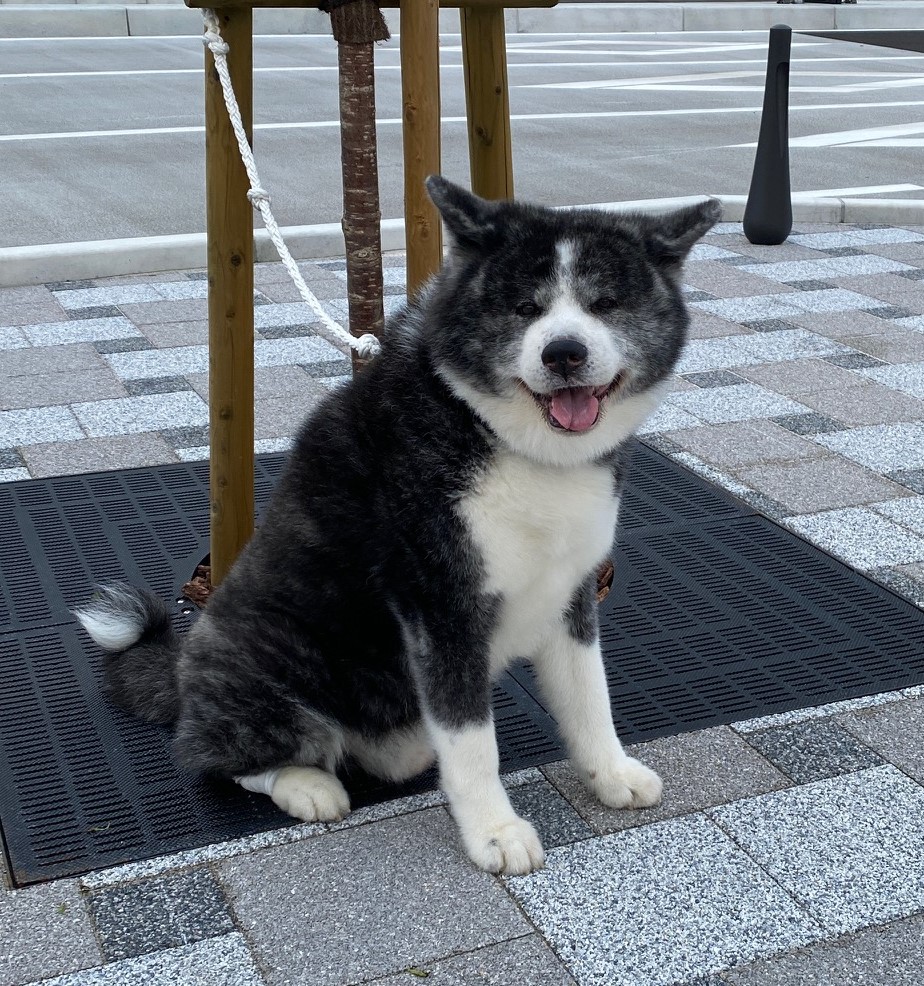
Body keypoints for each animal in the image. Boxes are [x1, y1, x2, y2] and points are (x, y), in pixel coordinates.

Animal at [76, 179, 720, 876]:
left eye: (605, 305)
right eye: (525, 308)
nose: (564, 353)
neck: (499, 436)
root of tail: (183, 673)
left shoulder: (571, 591)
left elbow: (588, 697)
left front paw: (610, 773)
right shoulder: (441, 606)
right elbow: (474, 743)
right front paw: (494, 831)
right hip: (272, 662)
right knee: (214, 755)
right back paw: (306, 784)